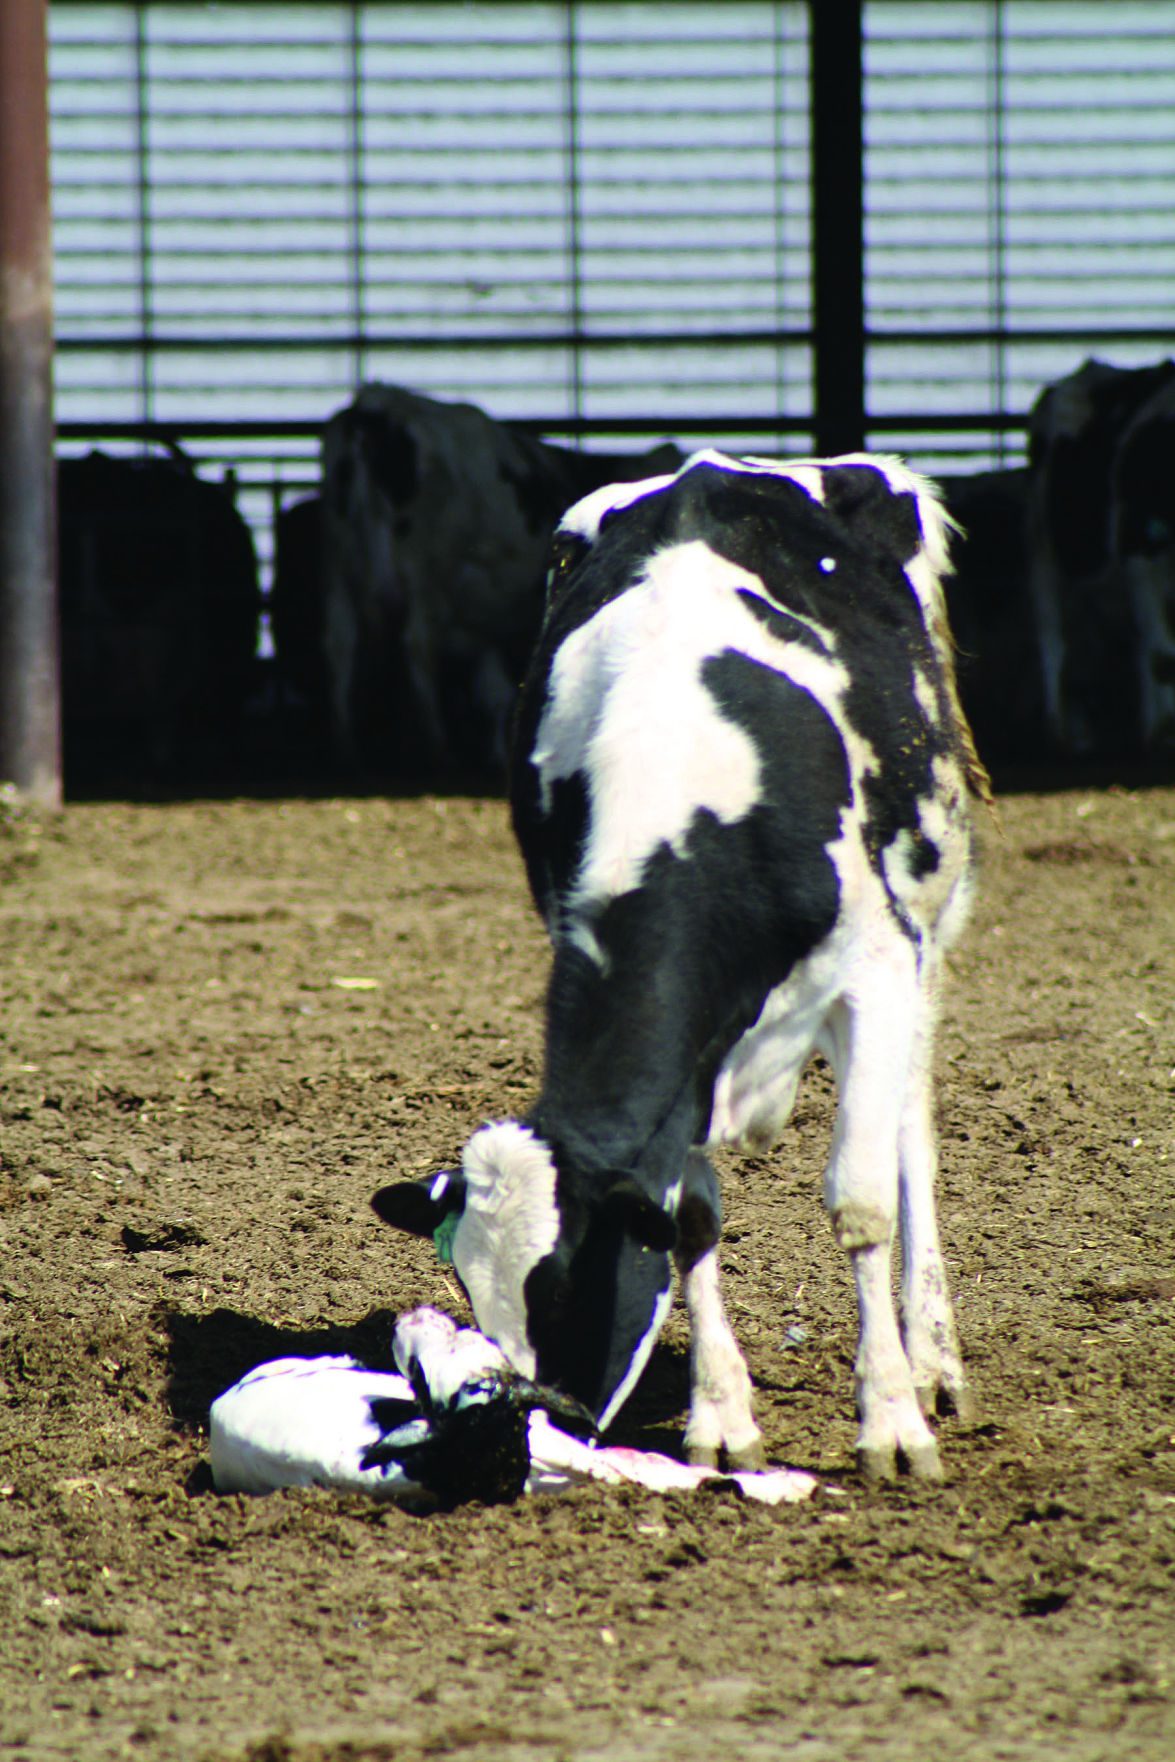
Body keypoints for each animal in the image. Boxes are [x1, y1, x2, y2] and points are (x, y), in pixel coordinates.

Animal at [318, 382, 679, 775]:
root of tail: (376, 402)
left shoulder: (486, 627)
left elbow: (494, 692)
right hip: (421, 574)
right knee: (417, 644)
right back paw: (437, 749)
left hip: (340, 570)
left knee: (340, 645)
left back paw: (345, 750)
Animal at [375, 447, 986, 1480]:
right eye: (469, 1287)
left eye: (565, 1287)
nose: (533, 1423)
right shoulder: (689, 1057)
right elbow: (693, 1214)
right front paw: (721, 1417)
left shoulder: (875, 962)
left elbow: (861, 1201)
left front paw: (892, 1422)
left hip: (928, 918)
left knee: (910, 1138)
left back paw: (933, 1358)